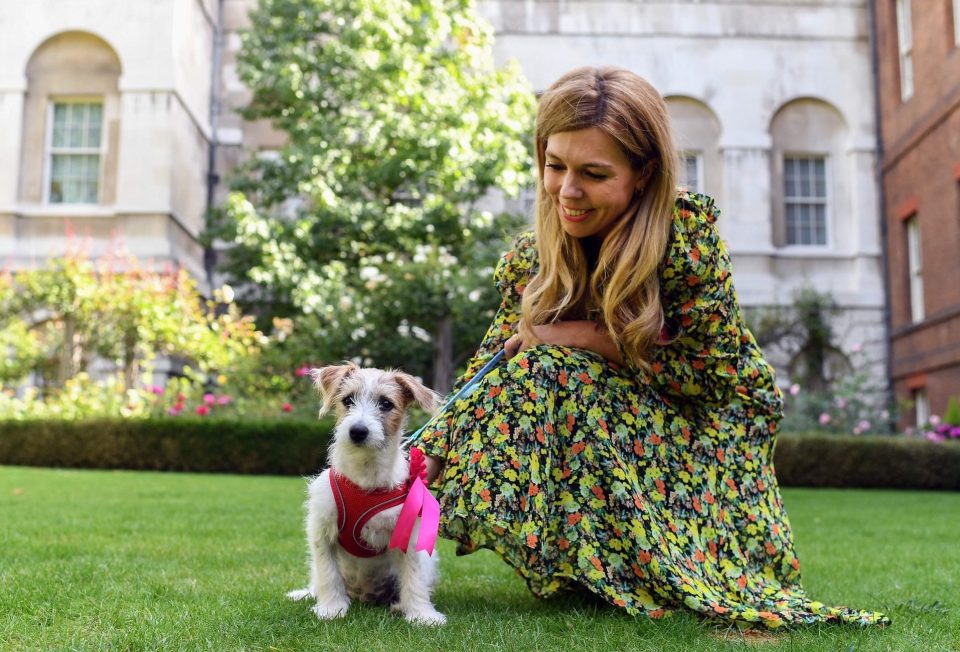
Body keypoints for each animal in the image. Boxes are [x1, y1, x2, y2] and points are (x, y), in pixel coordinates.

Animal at [286, 364, 448, 624]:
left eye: (386, 404)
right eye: (347, 400)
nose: (358, 431)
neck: (365, 477)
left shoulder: (409, 537)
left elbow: (414, 578)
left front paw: (422, 614)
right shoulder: (322, 531)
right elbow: (327, 574)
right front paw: (331, 608)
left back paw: (398, 606)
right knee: (318, 579)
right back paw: (306, 594)